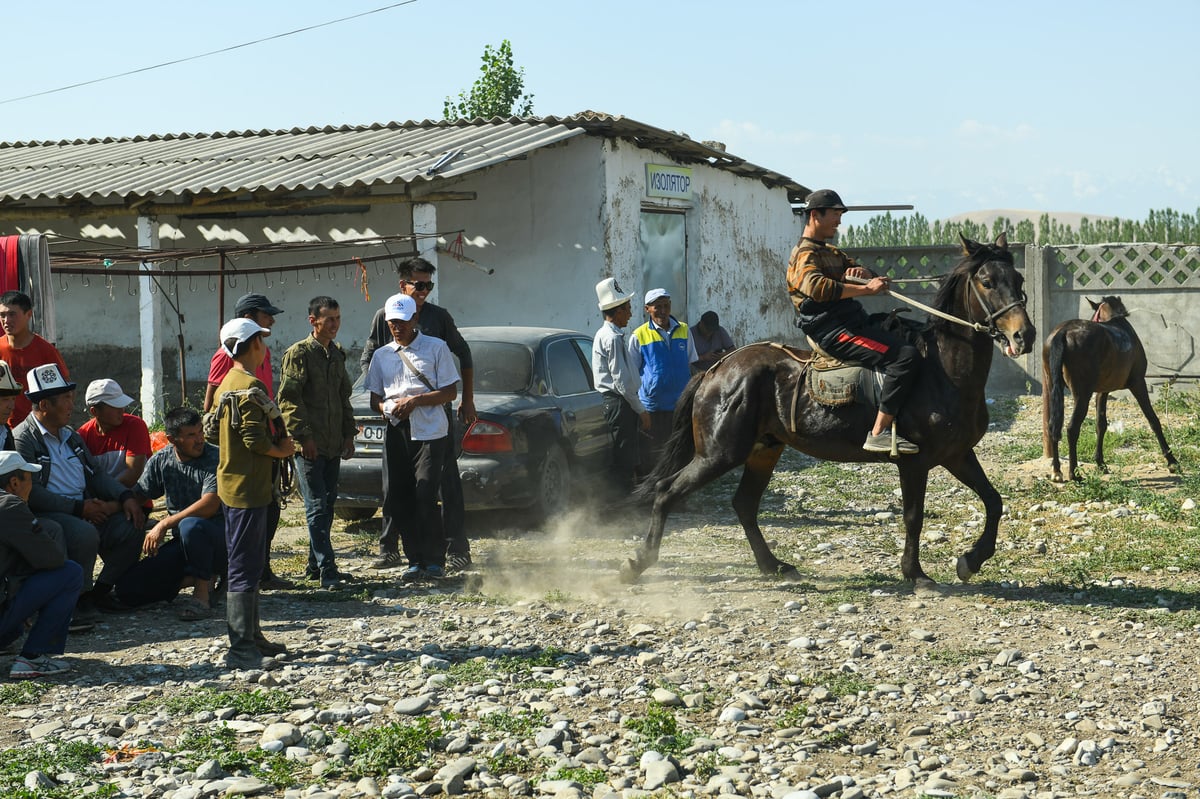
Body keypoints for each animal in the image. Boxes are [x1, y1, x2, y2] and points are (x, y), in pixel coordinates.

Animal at [624, 233, 1036, 587]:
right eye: (987, 281)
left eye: (1017, 278)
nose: (1024, 335)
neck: (942, 370)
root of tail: (715, 370)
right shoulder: (914, 461)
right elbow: (913, 516)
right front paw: (916, 575)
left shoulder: (957, 454)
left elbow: (994, 501)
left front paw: (971, 561)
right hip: (719, 454)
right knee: (666, 491)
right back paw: (638, 563)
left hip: (763, 450)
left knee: (743, 504)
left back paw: (774, 565)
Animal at [1041, 292, 1180, 479]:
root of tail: (1064, 332)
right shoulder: (1138, 382)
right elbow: (1153, 419)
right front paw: (1172, 461)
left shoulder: (1103, 391)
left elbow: (1101, 425)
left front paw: (1100, 463)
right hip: (1082, 395)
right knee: (1072, 428)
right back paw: (1074, 474)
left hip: (1053, 387)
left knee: (1053, 426)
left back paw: (1056, 470)